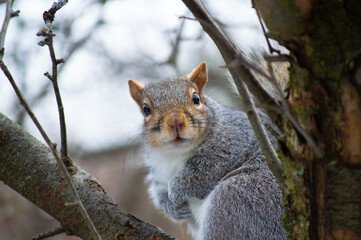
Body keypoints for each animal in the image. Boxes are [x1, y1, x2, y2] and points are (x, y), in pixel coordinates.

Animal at [128, 62, 286, 240]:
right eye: (146, 109)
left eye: (196, 98)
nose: (175, 121)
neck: (176, 154)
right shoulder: (159, 171)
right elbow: (160, 192)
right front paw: (172, 207)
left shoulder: (232, 142)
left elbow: (200, 173)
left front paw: (175, 192)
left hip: (238, 199)